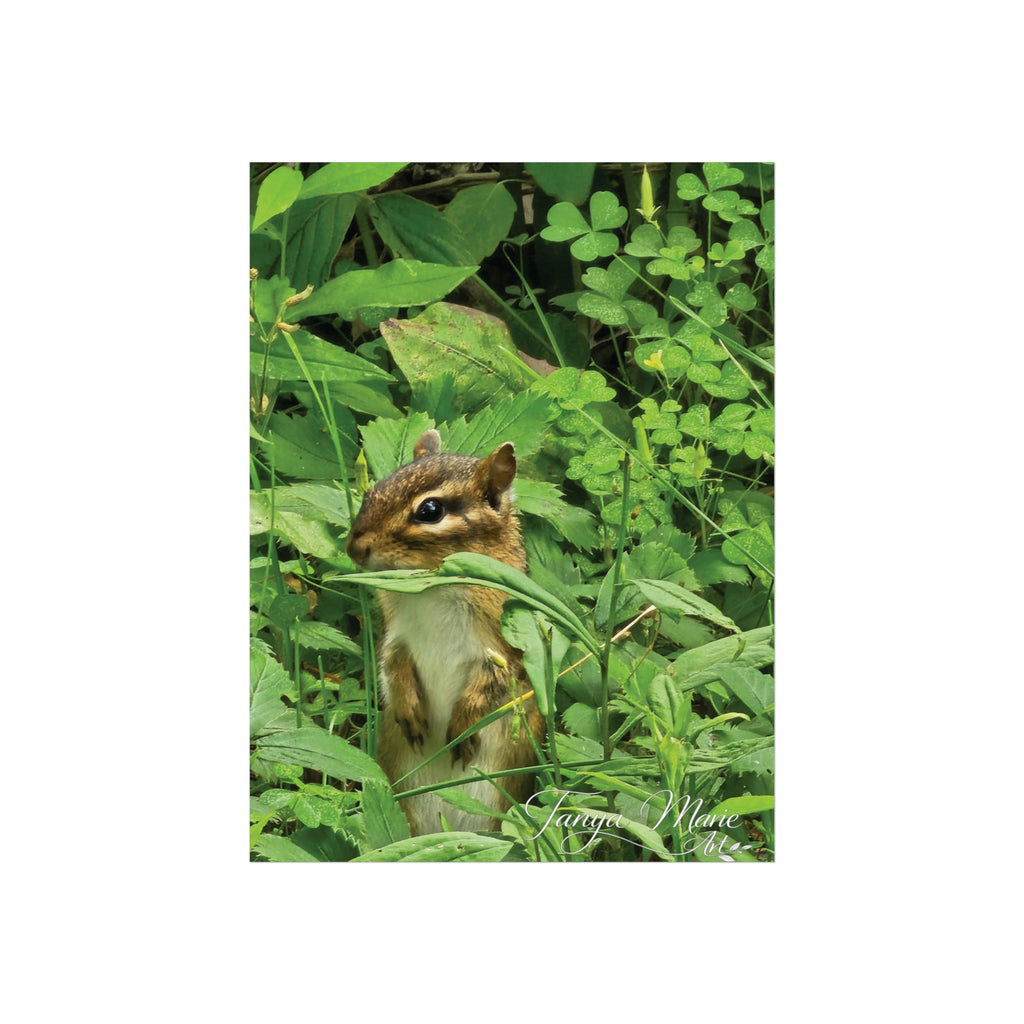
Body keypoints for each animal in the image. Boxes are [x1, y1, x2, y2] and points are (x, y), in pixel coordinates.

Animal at [347, 429, 545, 836]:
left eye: (430, 511)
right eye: (374, 490)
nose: (354, 547)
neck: (431, 589)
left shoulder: (502, 647)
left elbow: (491, 685)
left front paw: (462, 728)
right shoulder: (396, 635)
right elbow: (391, 665)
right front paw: (408, 709)